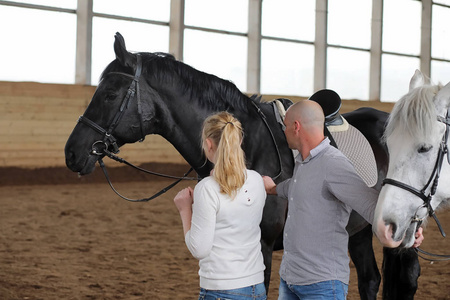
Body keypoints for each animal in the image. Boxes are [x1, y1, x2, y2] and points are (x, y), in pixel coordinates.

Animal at [65, 31, 420, 298]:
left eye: (110, 94)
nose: (71, 152)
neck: (247, 149)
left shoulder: (261, 246)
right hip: (358, 230)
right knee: (370, 280)